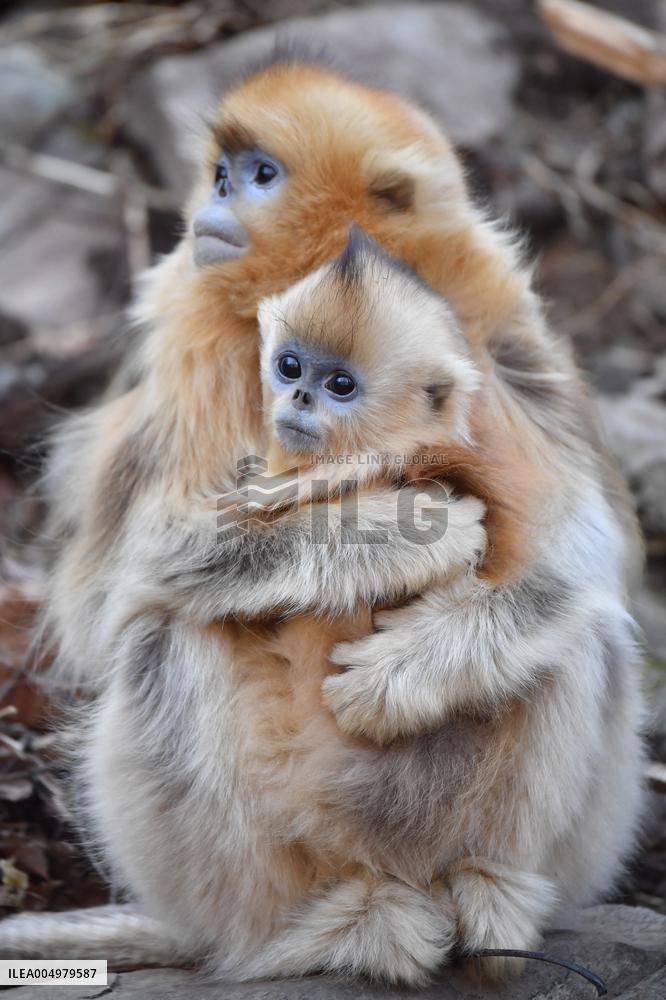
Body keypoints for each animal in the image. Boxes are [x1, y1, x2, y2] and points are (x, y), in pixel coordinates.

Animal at [0, 55, 644, 986]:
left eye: (260, 174)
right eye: (221, 171)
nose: (214, 200)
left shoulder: (496, 332)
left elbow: (583, 548)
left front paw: (399, 674)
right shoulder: (192, 349)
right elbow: (119, 584)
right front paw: (392, 534)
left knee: (583, 631)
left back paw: (489, 898)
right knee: (163, 628)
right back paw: (314, 934)